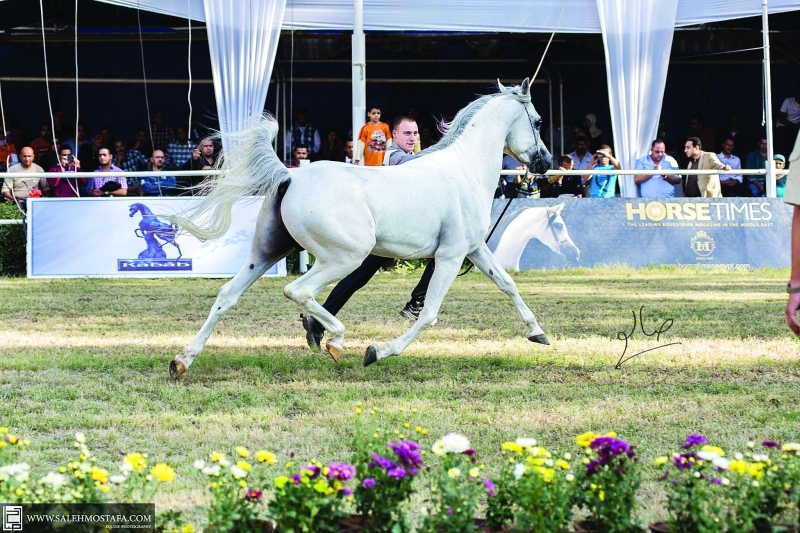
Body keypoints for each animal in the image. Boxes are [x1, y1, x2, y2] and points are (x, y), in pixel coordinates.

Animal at [169, 78, 552, 378]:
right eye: (537, 120)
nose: (545, 162)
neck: (464, 170)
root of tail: (290, 176)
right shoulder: (450, 255)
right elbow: (428, 314)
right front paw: (376, 352)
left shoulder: (474, 249)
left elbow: (507, 283)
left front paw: (538, 333)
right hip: (344, 257)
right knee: (298, 291)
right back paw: (335, 341)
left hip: (267, 252)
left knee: (226, 295)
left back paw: (182, 361)